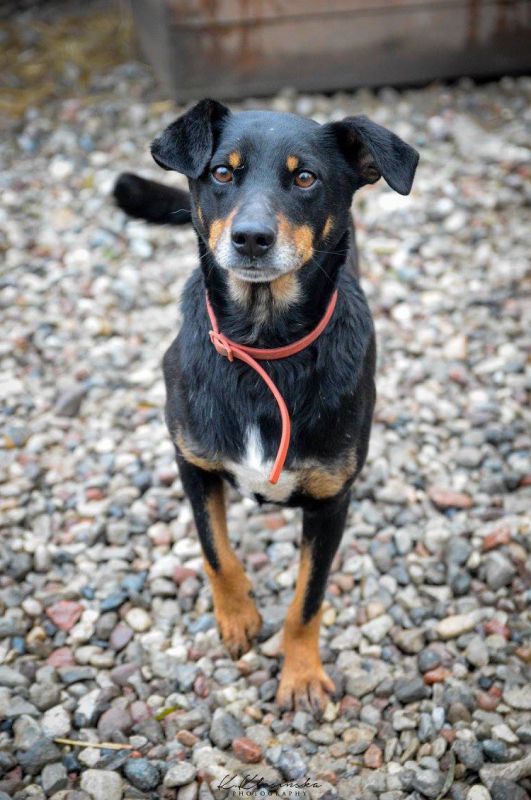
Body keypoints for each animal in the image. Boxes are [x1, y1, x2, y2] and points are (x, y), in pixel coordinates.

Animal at [114, 99, 419, 714]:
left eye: (305, 179)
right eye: (221, 173)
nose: (251, 238)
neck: (263, 347)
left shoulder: (331, 500)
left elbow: (308, 598)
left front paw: (299, 674)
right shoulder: (192, 461)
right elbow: (215, 551)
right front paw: (238, 619)